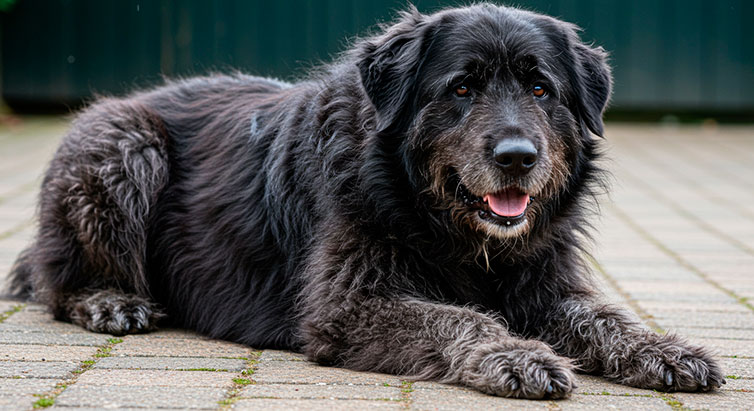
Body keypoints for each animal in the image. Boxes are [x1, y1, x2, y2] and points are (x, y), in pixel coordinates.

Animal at [8, 3, 720, 400]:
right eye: (461, 88)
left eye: (541, 89)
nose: (519, 157)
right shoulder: (348, 308)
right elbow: (457, 318)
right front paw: (515, 355)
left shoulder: (543, 285)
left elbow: (605, 317)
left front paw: (664, 349)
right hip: (125, 149)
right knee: (56, 281)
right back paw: (108, 300)